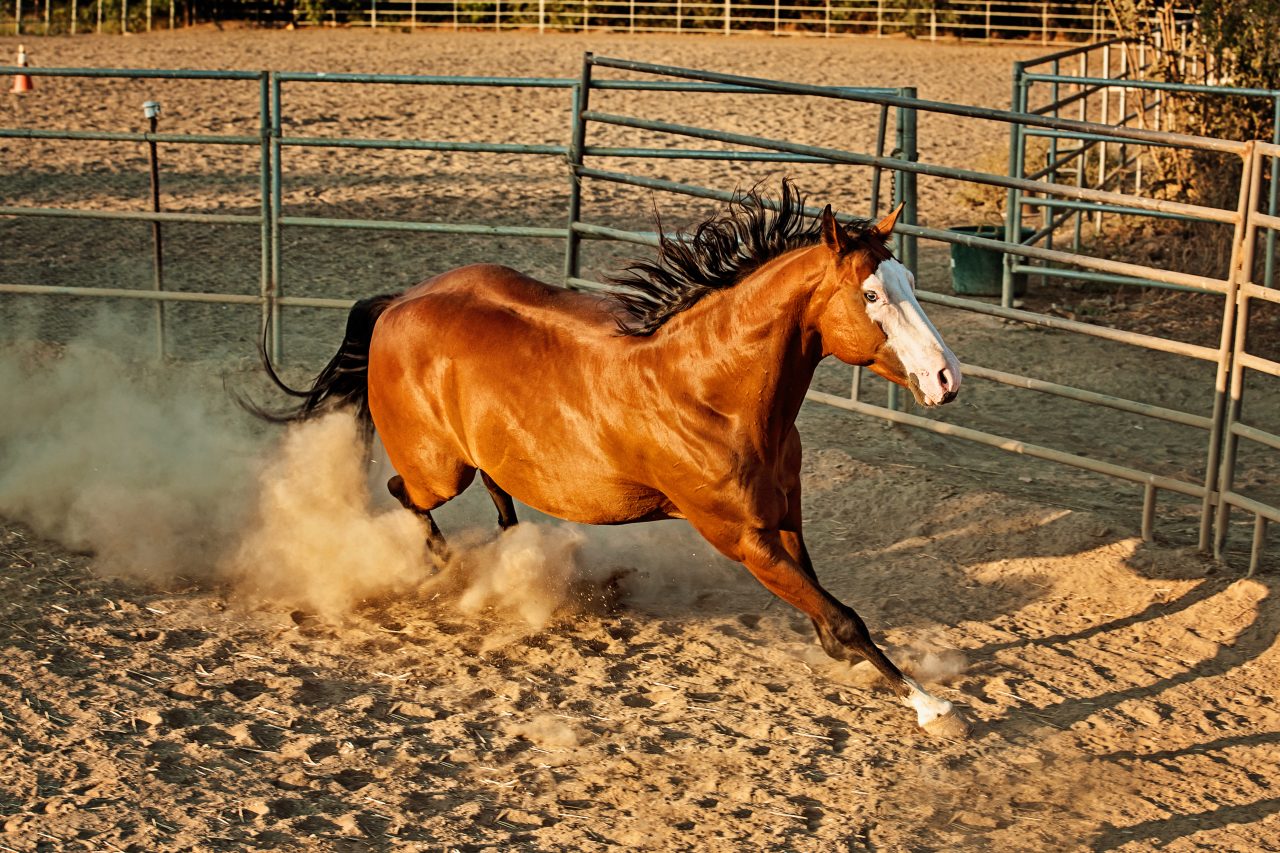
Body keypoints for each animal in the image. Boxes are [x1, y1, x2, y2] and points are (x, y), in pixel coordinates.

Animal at [247, 181, 968, 738]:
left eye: (908, 281)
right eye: (871, 296)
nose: (946, 378)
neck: (710, 392)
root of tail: (397, 302)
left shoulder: (783, 517)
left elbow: (828, 609)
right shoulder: (742, 538)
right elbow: (845, 617)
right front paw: (932, 706)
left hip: (478, 457)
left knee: (498, 494)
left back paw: (520, 558)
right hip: (438, 470)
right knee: (404, 493)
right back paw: (451, 567)